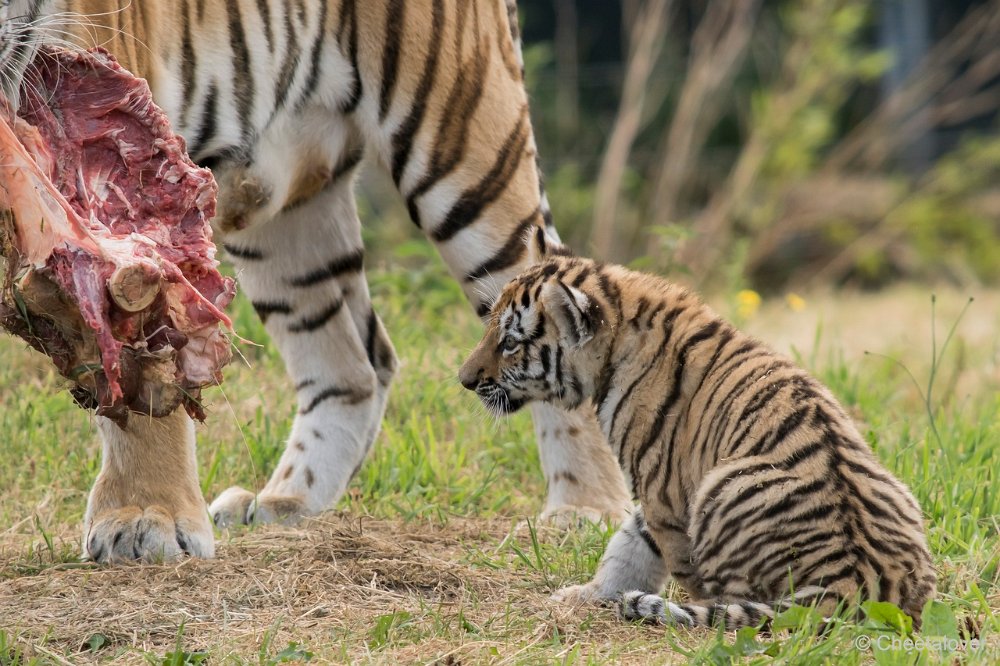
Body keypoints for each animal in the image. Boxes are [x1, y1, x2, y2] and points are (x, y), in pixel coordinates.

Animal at [0, 0, 628, 560]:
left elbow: (138, 367)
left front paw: (145, 518)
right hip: (288, 220)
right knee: (355, 364)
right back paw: (286, 501)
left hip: (465, 152)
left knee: (553, 302)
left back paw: (584, 511)